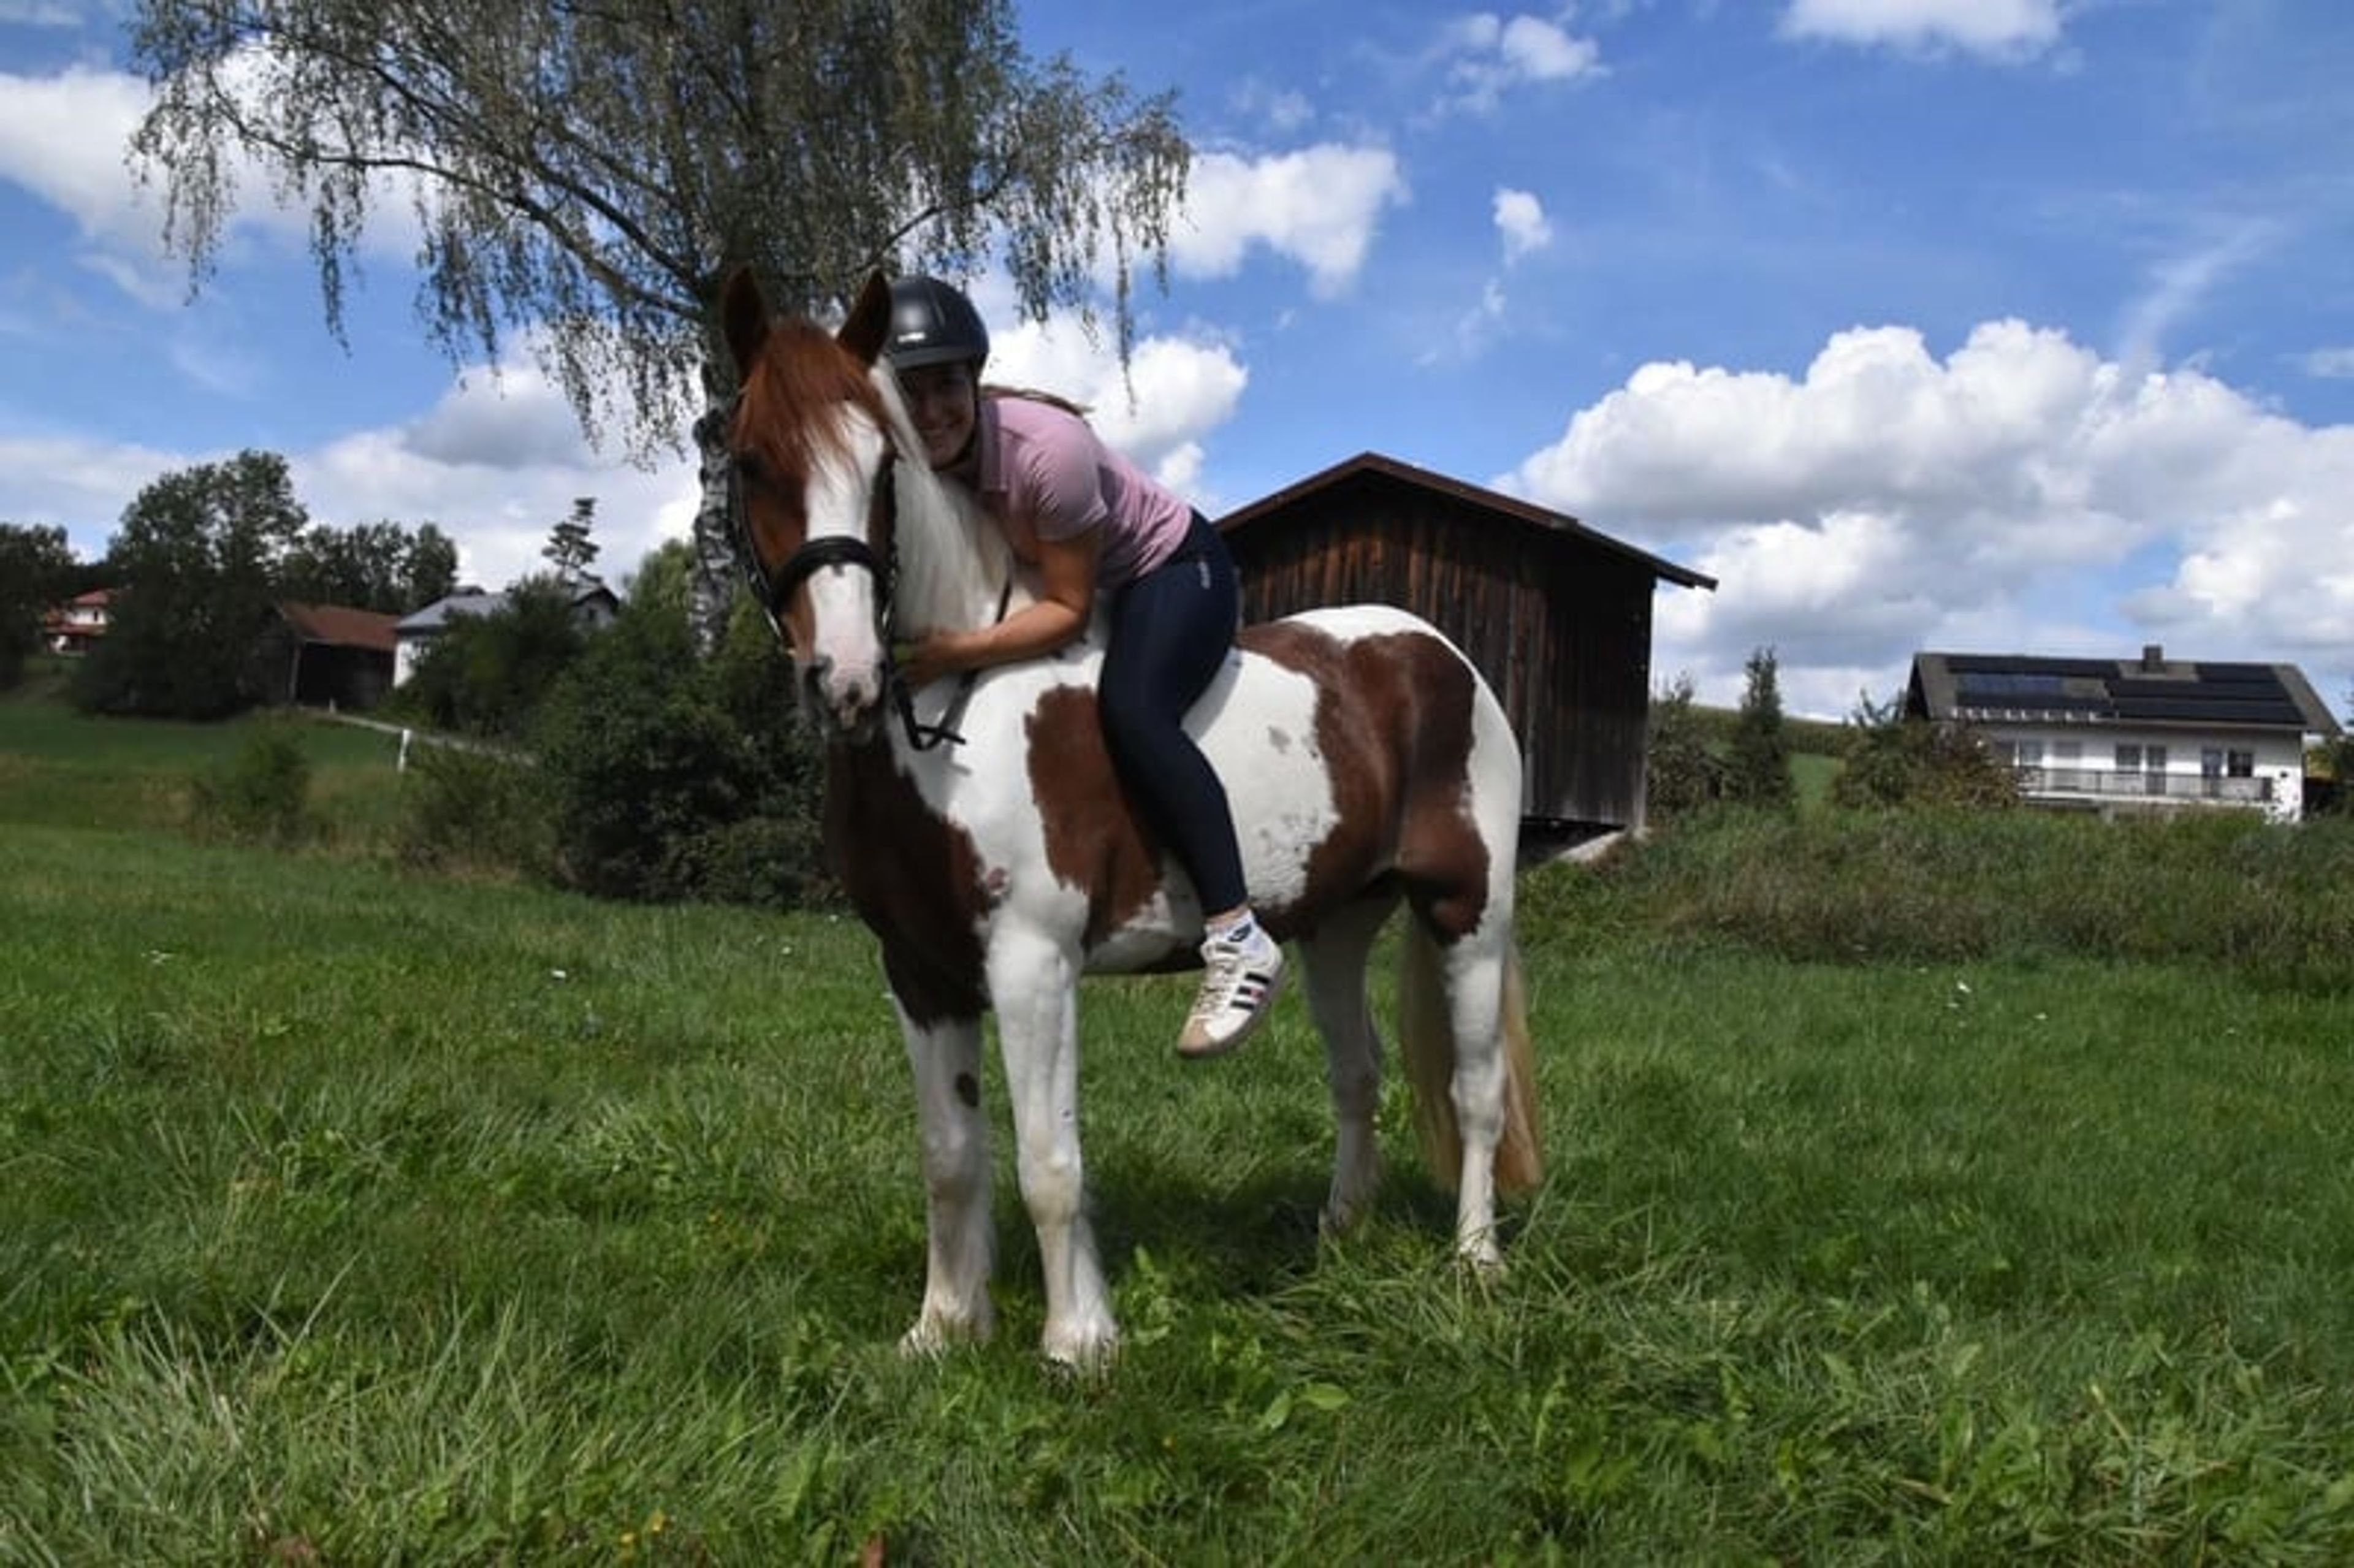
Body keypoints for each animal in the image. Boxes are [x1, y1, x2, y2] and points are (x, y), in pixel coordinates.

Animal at [717, 267, 1543, 1368]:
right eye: (750, 461)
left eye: (883, 465)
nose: (843, 679)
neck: (950, 721)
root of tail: (1441, 655)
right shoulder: (921, 971)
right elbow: (949, 1155)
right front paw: (944, 1327)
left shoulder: (1032, 965)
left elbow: (1048, 1158)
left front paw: (1079, 1340)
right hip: (1335, 924)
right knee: (1357, 1076)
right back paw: (1340, 1232)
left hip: (1468, 914)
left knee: (1476, 1090)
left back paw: (1476, 1260)